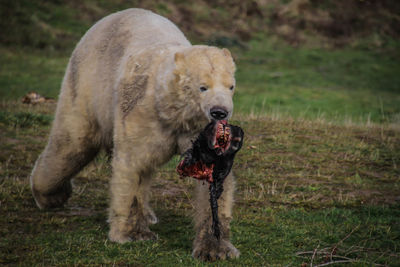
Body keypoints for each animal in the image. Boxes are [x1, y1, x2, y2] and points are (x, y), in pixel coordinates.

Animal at [30, 7, 241, 262]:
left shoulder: (196, 130)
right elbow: (132, 164)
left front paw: (216, 249)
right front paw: (132, 234)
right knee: (72, 143)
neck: (170, 109)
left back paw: (148, 214)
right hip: (87, 84)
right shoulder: (141, 114)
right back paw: (51, 195)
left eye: (231, 86)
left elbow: (211, 177)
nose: (220, 112)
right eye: (203, 87)